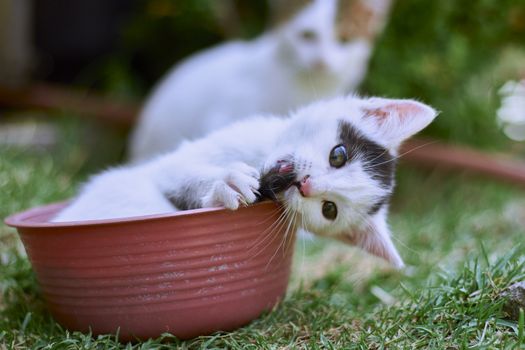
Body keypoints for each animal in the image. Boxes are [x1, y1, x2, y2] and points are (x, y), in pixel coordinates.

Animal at [54, 94, 438, 266]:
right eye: (338, 155)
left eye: (329, 210)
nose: (306, 185)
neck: (259, 158)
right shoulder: (177, 161)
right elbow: (181, 169)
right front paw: (227, 181)